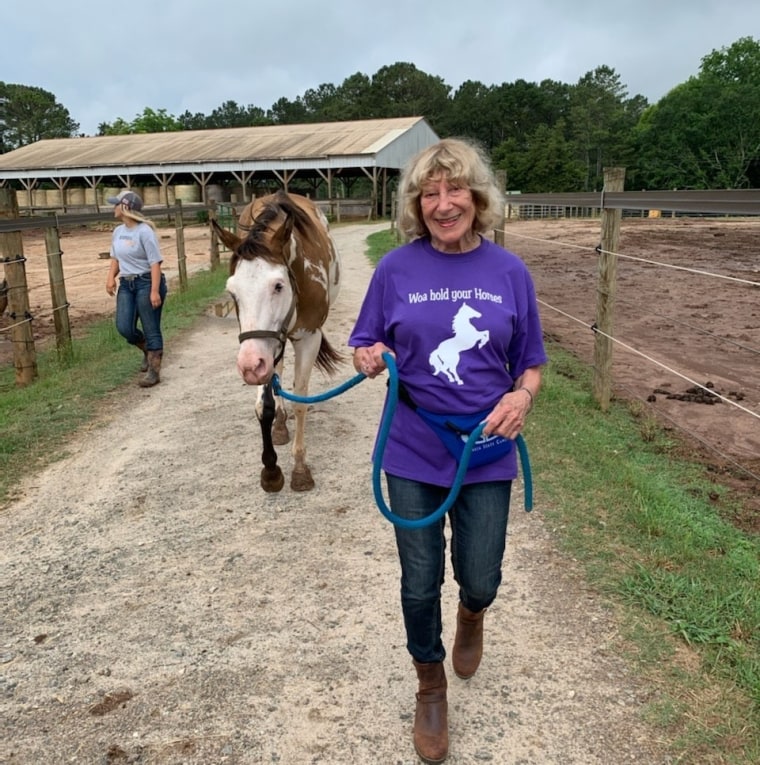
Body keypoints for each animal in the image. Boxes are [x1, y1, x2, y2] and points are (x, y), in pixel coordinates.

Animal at [211, 190, 342, 490]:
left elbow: (300, 401)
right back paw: (281, 425)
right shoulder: (260, 351)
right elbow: (263, 406)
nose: (249, 366)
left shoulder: (309, 338)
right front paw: (270, 469)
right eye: (232, 292)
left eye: (278, 286)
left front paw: (300, 469)